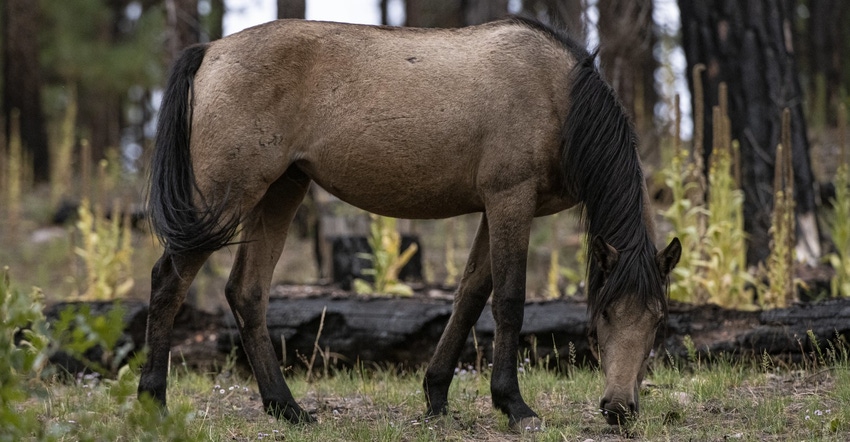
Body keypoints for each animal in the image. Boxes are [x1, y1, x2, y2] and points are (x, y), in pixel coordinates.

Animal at [139, 15, 684, 430]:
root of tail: (210, 51)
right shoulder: (510, 199)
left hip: (280, 192)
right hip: (224, 197)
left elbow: (470, 295)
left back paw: (287, 408)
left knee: (246, 293)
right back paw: (153, 401)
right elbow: (509, 301)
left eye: (659, 321)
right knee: (168, 281)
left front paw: (436, 396)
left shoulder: (495, 208)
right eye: (603, 316)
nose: (619, 409)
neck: (558, 96)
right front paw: (514, 405)